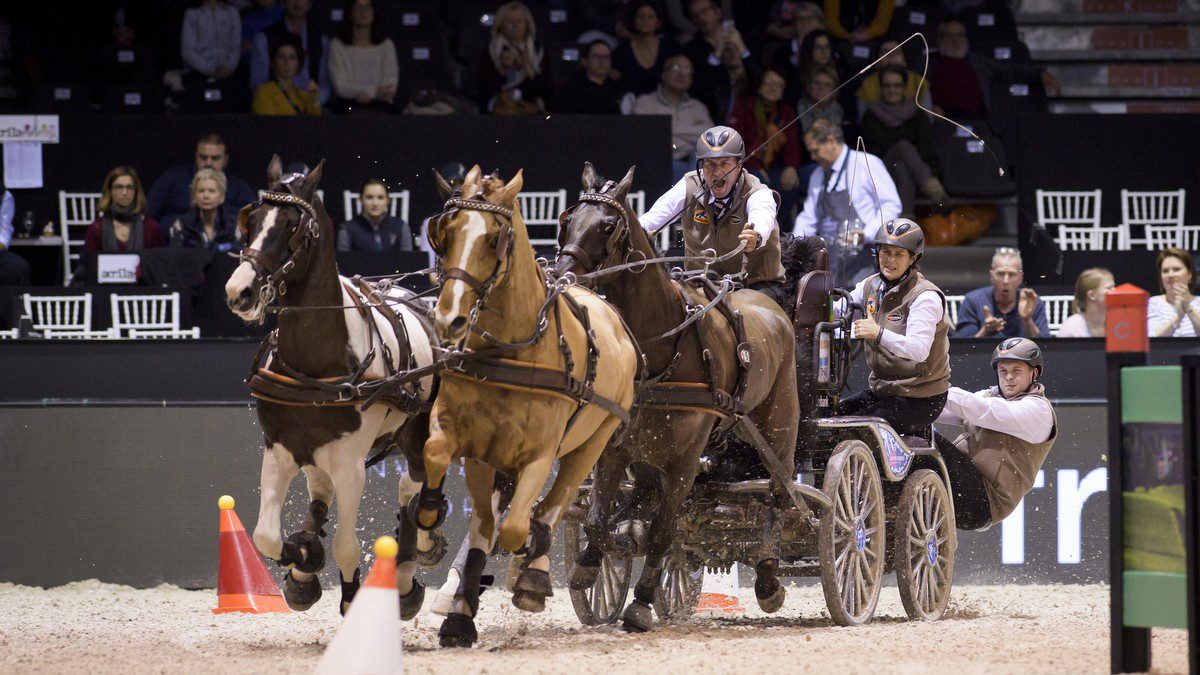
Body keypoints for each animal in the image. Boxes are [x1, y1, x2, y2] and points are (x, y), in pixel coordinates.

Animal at [224, 156, 441, 614]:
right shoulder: (280, 448)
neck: (315, 363)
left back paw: (410, 566)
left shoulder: (351, 463)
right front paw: (304, 558)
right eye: (252, 219)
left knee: (413, 489)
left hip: (414, 435)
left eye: (292, 226)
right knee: (321, 491)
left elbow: (346, 545)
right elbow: (265, 536)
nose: (240, 291)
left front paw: (353, 595)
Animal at [410, 165, 643, 643]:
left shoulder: (540, 453)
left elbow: (521, 525)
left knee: (557, 504)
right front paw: (432, 541)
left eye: (493, 238)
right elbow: (448, 474)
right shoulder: (474, 448)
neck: (513, 352)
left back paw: (533, 571)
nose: (448, 319)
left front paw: (526, 569)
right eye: (444, 232)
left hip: (596, 442)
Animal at [554, 162, 801, 629]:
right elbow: (597, 520)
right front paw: (592, 564)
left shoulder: (684, 461)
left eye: (609, 226)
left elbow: (663, 531)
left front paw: (640, 604)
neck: (657, 348)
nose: (563, 276)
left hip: (779, 427)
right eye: (566, 220)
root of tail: (771, 307)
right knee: (642, 501)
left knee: (779, 495)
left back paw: (768, 580)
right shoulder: (615, 449)